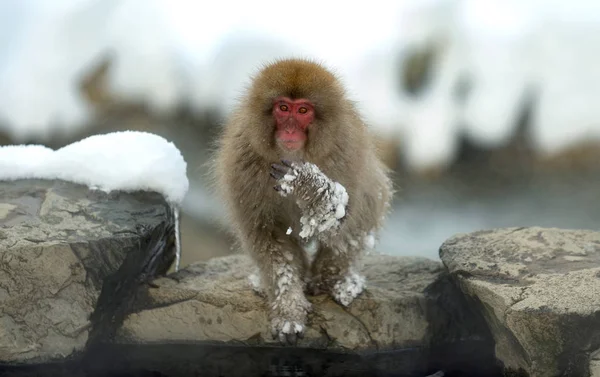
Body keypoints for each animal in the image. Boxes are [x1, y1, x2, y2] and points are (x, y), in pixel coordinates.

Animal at [214, 58, 394, 344]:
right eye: (283, 108)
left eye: (302, 111)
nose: (289, 129)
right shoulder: (243, 162)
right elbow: (268, 236)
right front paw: (288, 308)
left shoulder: (345, 154)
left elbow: (339, 223)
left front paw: (307, 183)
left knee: (367, 204)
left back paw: (332, 281)